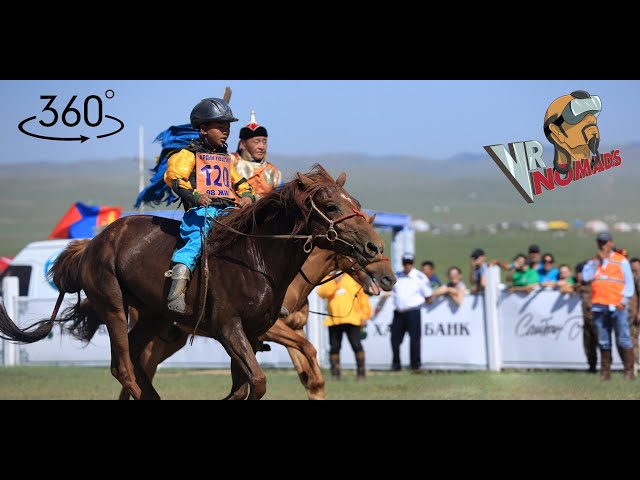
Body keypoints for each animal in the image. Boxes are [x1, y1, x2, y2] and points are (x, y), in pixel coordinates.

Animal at [0, 167, 380, 400]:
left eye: (357, 204)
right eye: (330, 205)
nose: (374, 248)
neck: (255, 257)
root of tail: (92, 244)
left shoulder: (254, 333)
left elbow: (245, 386)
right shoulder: (229, 328)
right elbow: (257, 381)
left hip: (153, 316)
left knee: (137, 360)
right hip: (113, 307)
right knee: (123, 367)